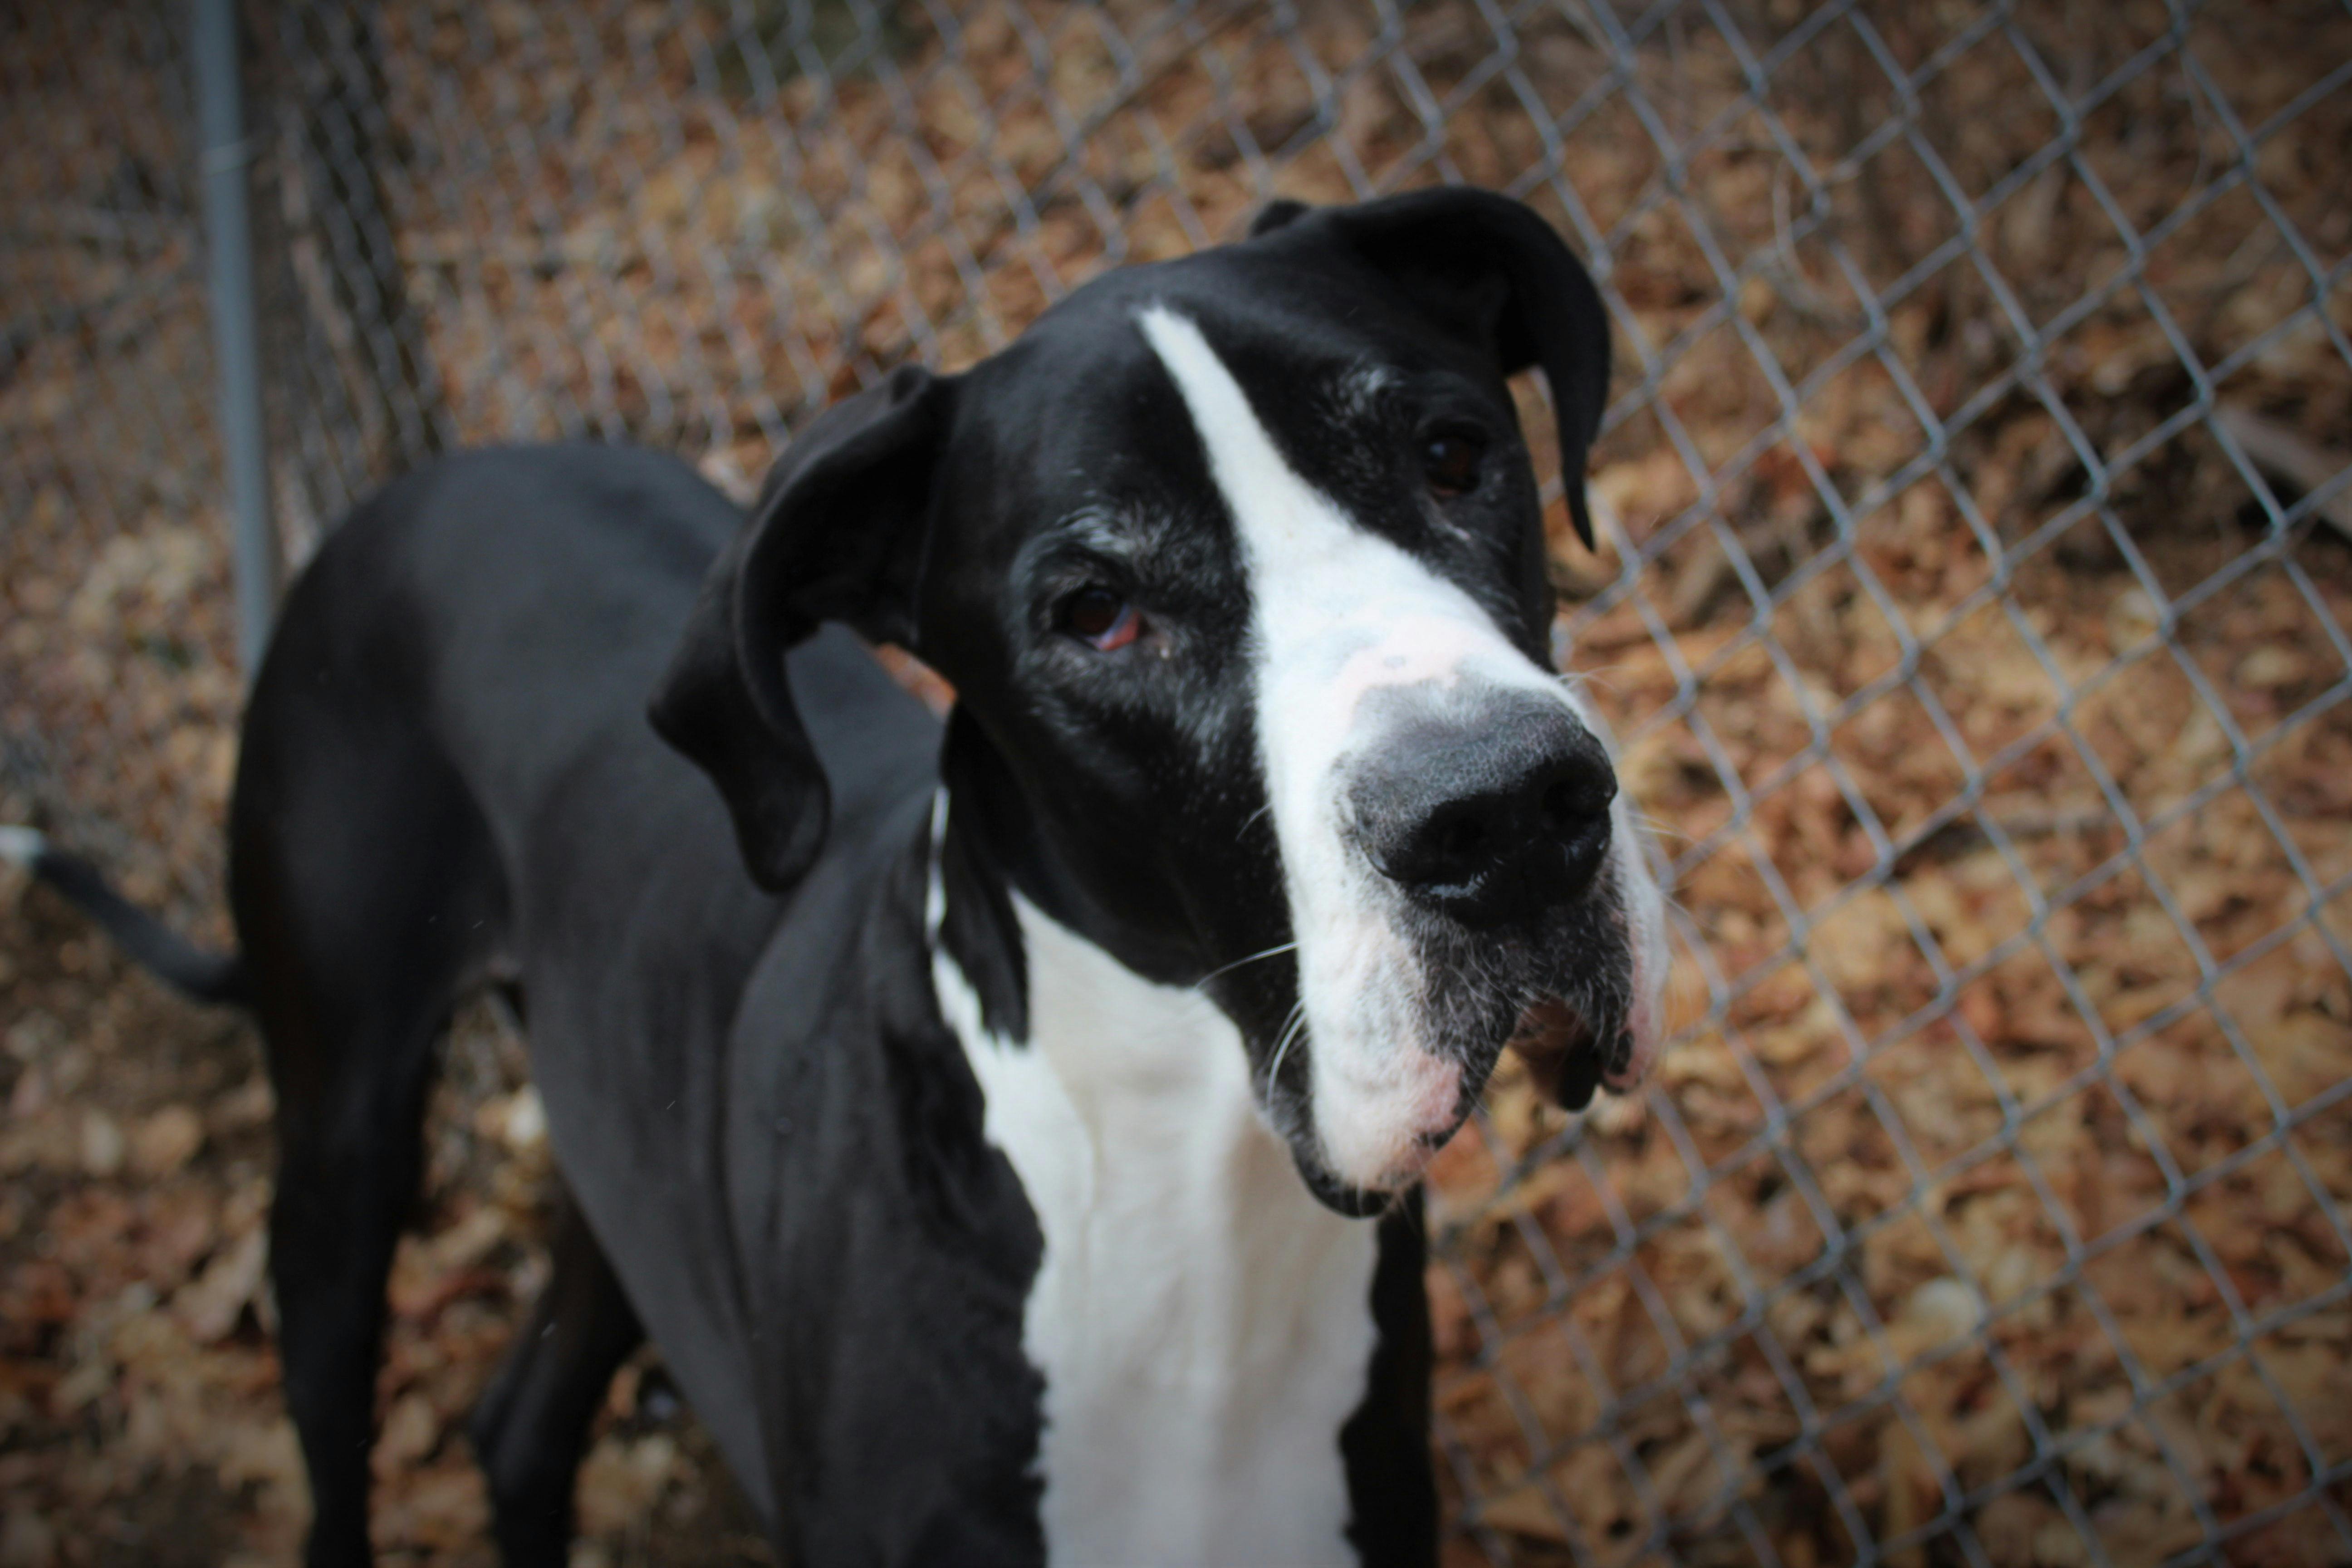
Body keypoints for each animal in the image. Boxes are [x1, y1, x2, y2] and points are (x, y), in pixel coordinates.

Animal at [14, 186, 1675, 1568]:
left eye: (1454, 455)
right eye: (1095, 609)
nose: (1505, 813)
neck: (1185, 1205)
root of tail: (403, 493)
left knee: (521, 1426)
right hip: (343, 1146)